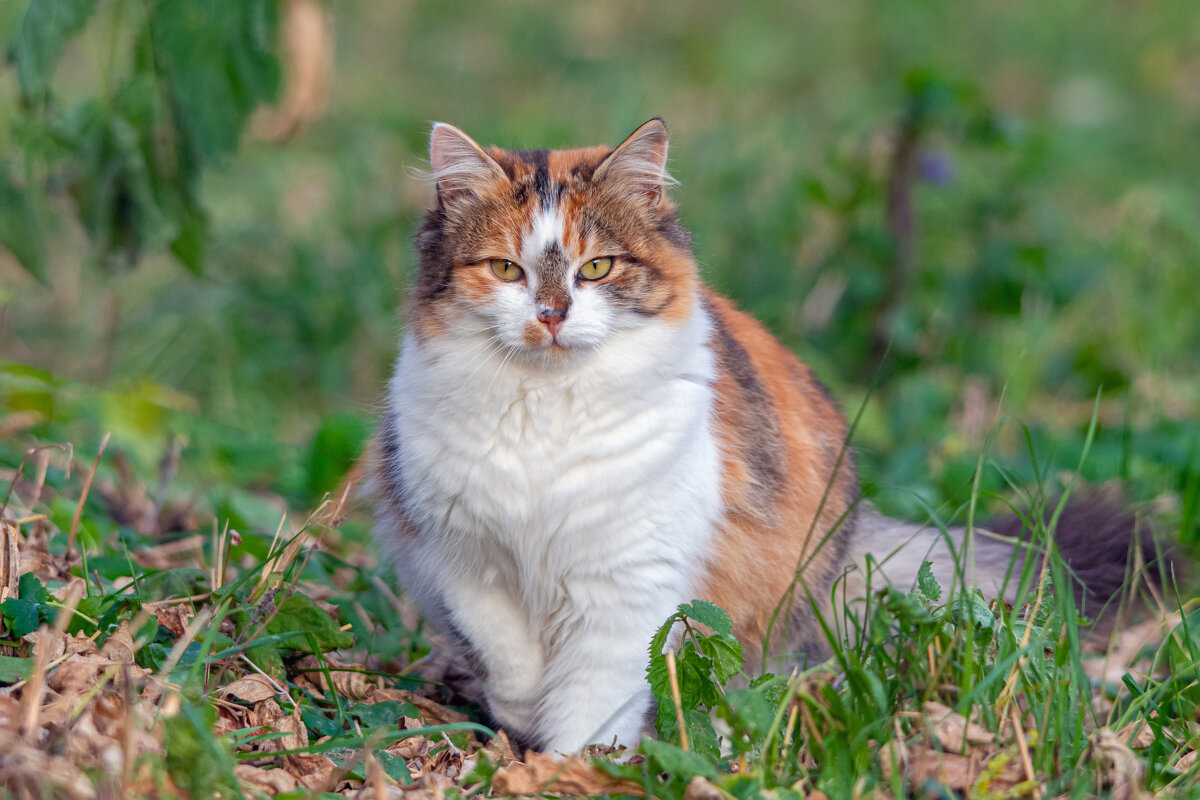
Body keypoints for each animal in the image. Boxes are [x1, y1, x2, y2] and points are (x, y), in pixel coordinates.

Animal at [367, 118, 1161, 758]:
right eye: (507, 269)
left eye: (597, 267)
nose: (552, 315)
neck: (546, 408)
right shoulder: (459, 555)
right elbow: (508, 656)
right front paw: (525, 721)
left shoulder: (626, 582)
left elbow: (591, 700)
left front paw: (571, 770)